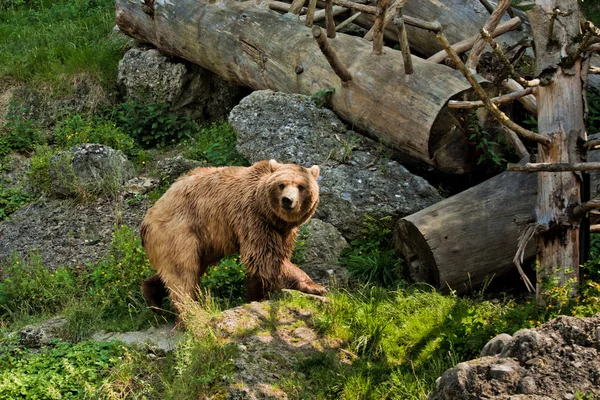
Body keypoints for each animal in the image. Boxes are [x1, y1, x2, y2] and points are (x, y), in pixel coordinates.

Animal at [139, 158, 328, 318]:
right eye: (281, 185)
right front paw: (315, 286)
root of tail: (147, 220)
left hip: (200, 242)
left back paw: (152, 296)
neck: (270, 214)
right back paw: (190, 313)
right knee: (182, 272)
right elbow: (264, 257)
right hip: (178, 230)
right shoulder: (252, 217)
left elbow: (264, 265)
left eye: (301, 186)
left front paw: (255, 296)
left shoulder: (282, 231)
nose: (287, 200)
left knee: (184, 269)